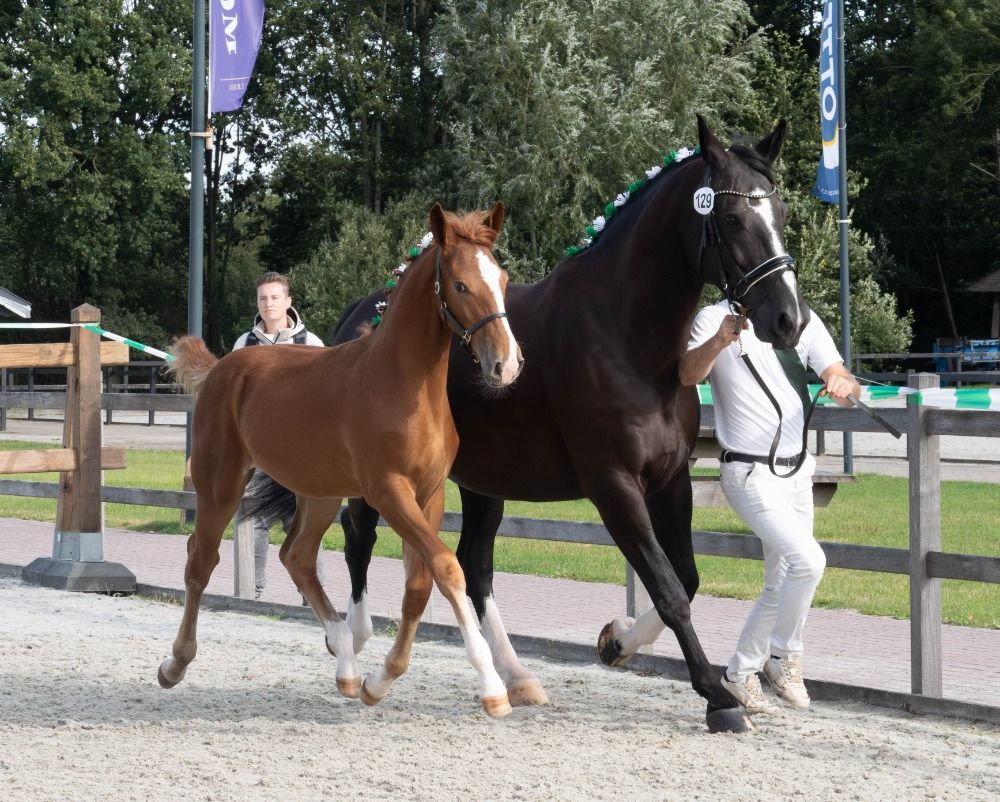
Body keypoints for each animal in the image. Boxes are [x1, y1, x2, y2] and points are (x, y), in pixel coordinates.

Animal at [157, 202, 525, 717]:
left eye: (502, 278)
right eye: (459, 285)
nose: (505, 365)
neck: (402, 383)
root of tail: (221, 368)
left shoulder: (429, 493)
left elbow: (420, 583)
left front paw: (379, 681)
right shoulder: (388, 491)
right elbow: (448, 568)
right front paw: (492, 686)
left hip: (319, 494)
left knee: (297, 557)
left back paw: (347, 667)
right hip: (220, 482)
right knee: (200, 561)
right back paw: (175, 664)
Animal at [266, 116, 806, 733]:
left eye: (781, 212)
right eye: (733, 218)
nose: (788, 320)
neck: (626, 339)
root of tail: (364, 314)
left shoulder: (671, 481)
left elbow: (687, 580)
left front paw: (617, 642)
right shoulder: (613, 485)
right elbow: (669, 589)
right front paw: (717, 697)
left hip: (482, 481)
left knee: (474, 565)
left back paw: (515, 676)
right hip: (382, 478)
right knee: (360, 537)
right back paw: (352, 640)